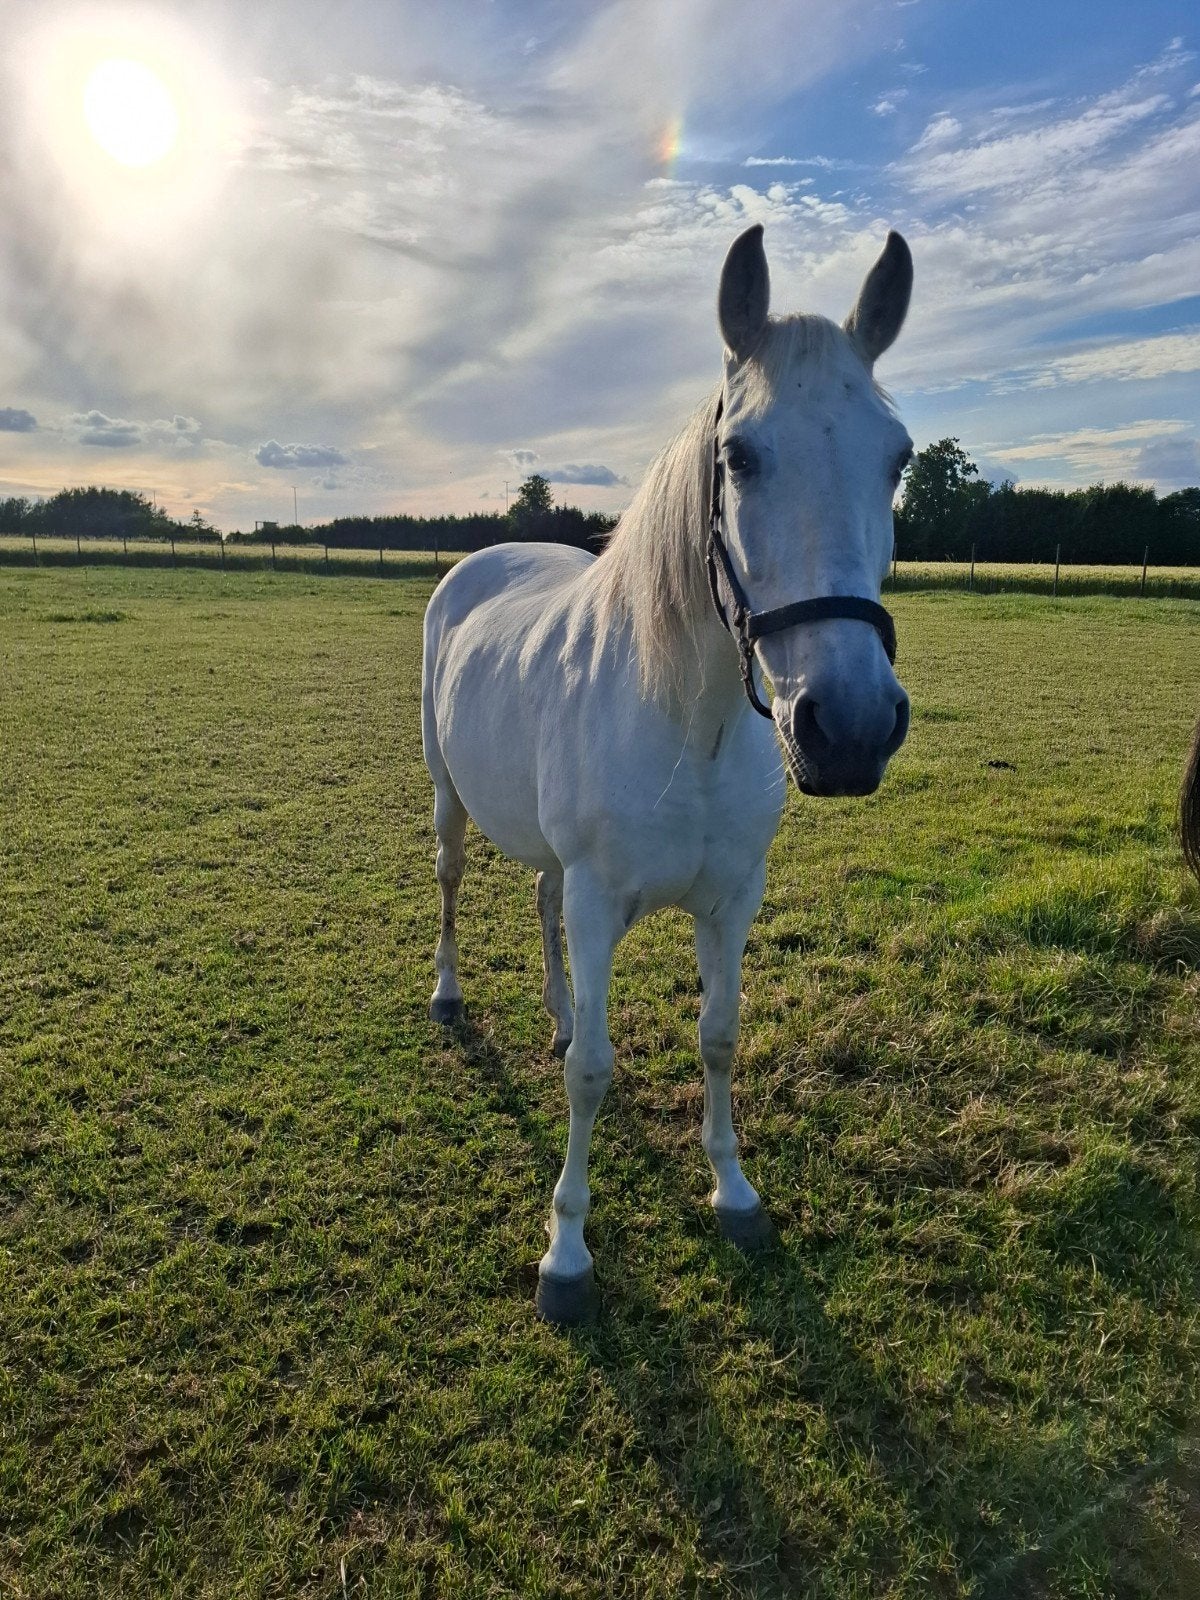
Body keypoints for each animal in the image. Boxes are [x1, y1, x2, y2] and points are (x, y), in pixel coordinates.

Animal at [421, 223, 915, 1322]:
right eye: (740, 455)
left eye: (898, 459)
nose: (849, 727)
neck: (693, 725)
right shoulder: (603, 900)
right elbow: (593, 1076)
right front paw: (566, 1253)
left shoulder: (731, 900)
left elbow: (719, 1035)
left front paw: (735, 1192)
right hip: (447, 799)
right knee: (455, 881)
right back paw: (447, 992)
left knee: (539, 900)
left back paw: (558, 1012)